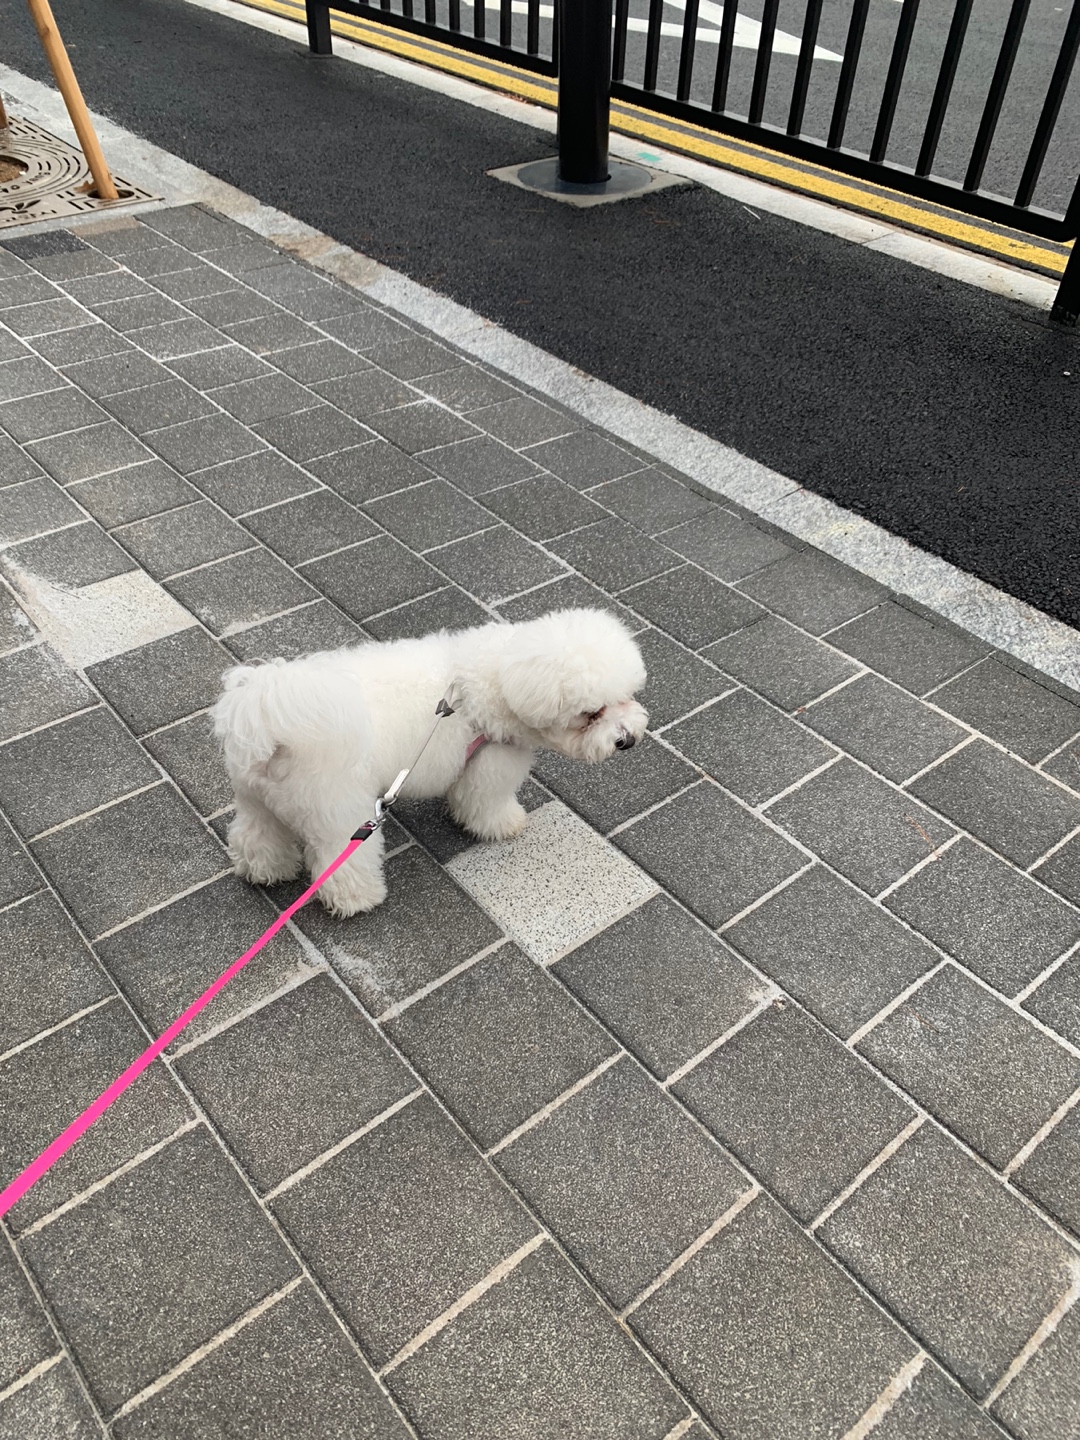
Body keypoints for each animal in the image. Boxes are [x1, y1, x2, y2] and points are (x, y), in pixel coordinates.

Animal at [216, 613, 648, 915]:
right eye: (591, 714)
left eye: (627, 696)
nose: (627, 740)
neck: (500, 677)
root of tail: (271, 721)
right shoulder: (489, 765)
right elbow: (485, 804)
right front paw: (505, 824)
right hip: (339, 809)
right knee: (339, 857)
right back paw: (359, 899)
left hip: (256, 798)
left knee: (255, 836)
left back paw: (265, 871)